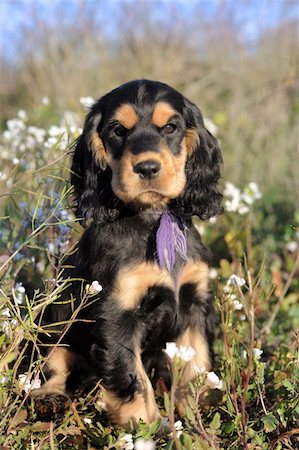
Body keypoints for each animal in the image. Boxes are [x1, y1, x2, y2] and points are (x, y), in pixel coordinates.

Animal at [34, 80, 224, 426]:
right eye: (118, 130)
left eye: (171, 127)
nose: (147, 168)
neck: (152, 218)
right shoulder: (117, 313)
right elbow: (130, 376)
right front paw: (148, 426)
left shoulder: (194, 303)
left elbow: (197, 361)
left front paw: (201, 409)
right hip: (53, 325)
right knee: (52, 367)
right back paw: (49, 398)